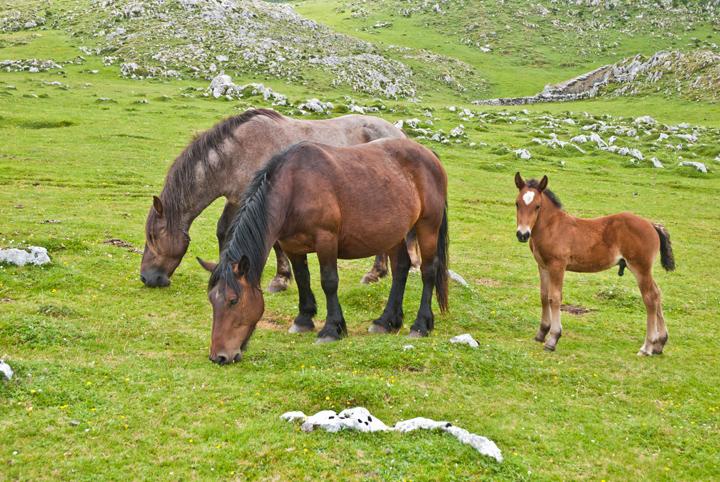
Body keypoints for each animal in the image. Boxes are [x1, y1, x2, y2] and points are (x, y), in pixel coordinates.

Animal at [142, 108, 410, 290]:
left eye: (153, 237)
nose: (147, 278)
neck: (236, 154)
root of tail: (399, 132)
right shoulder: (236, 199)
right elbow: (223, 230)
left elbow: (276, 243)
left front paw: (281, 278)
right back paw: (378, 272)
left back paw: (375, 272)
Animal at [194, 137, 448, 364]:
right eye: (211, 300)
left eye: (233, 301)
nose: (219, 356)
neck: (294, 188)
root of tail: (429, 155)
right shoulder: (292, 246)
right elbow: (302, 279)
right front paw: (303, 320)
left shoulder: (326, 240)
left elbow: (329, 282)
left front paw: (332, 329)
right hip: (393, 232)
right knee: (401, 269)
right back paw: (386, 321)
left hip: (427, 226)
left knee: (428, 271)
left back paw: (420, 325)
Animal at [512, 172, 676, 354]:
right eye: (517, 203)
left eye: (537, 206)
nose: (522, 234)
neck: (552, 227)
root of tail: (652, 225)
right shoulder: (542, 266)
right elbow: (543, 296)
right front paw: (541, 333)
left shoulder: (557, 266)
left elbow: (554, 297)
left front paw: (553, 339)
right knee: (657, 293)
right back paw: (660, 343)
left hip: (641, 268)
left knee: (650, 297)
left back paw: (647, 346)